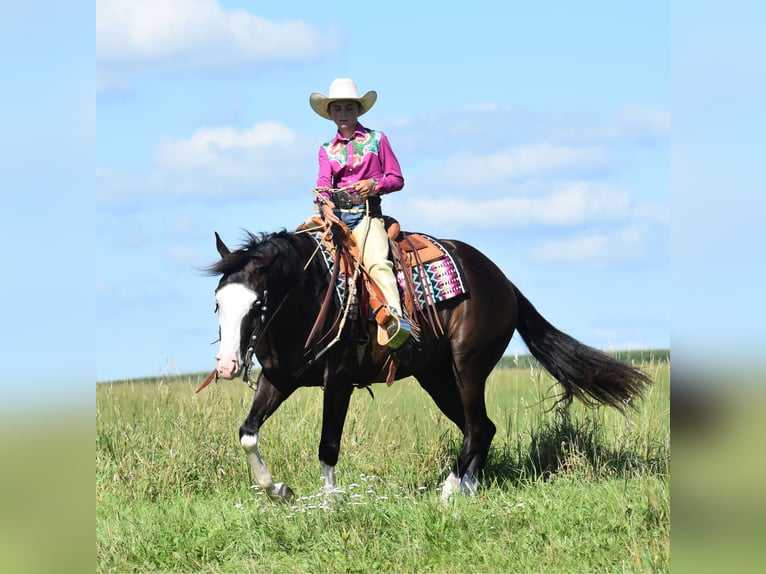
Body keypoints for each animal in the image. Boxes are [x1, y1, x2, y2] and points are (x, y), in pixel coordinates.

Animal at [205, 225, 652, 501]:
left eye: (257, 304)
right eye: (218, 303)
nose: (227, 366)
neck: (313, 296)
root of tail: (503, 282)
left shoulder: (340, 380)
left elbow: (328, 445)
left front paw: (329, 505)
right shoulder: (279, 378)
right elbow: (248, 433)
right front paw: (278, 490)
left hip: (467, 368)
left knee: (477, 426)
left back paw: (451, 489)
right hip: (434, 376)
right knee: (482, 428)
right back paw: (468, 488)